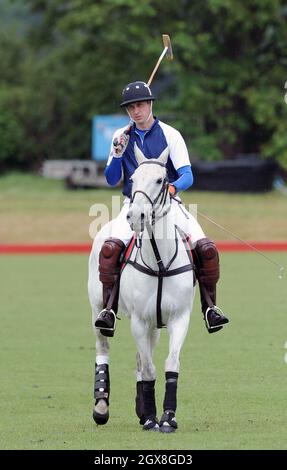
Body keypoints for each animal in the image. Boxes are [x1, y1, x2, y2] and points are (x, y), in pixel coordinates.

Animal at [88, 144, 196, 434]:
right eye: (133, 179)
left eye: (161, 180)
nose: (136, 216)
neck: (159, 261)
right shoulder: (138, 319)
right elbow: (149, 369)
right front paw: (150, 418)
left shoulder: (178, 318)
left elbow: (169, 364)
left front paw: (166, 417)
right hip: (97, 308)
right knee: (103, 346)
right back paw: (101, 407)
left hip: (153, 325)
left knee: (140, 356)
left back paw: (141, 408)